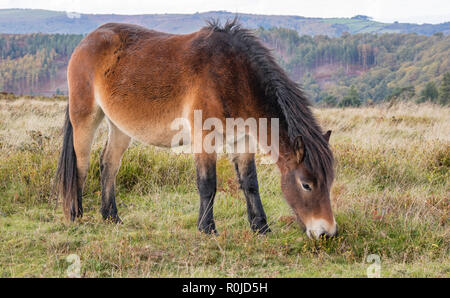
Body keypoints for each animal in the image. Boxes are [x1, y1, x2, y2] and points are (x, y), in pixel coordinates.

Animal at [55, 20, 338, 240]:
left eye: (329, 182)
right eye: (306, 185)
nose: (327, 233)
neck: (232, 75)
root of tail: (86, 41)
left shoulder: (243, 140)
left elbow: (250, 183)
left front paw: (261, 227)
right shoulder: (205, 138)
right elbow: (207, 184)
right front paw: (207, 228)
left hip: (120, 126)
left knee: (109, 164)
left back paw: (111, 217)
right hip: (85, 117)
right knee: (81, 164)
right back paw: (76, 215)